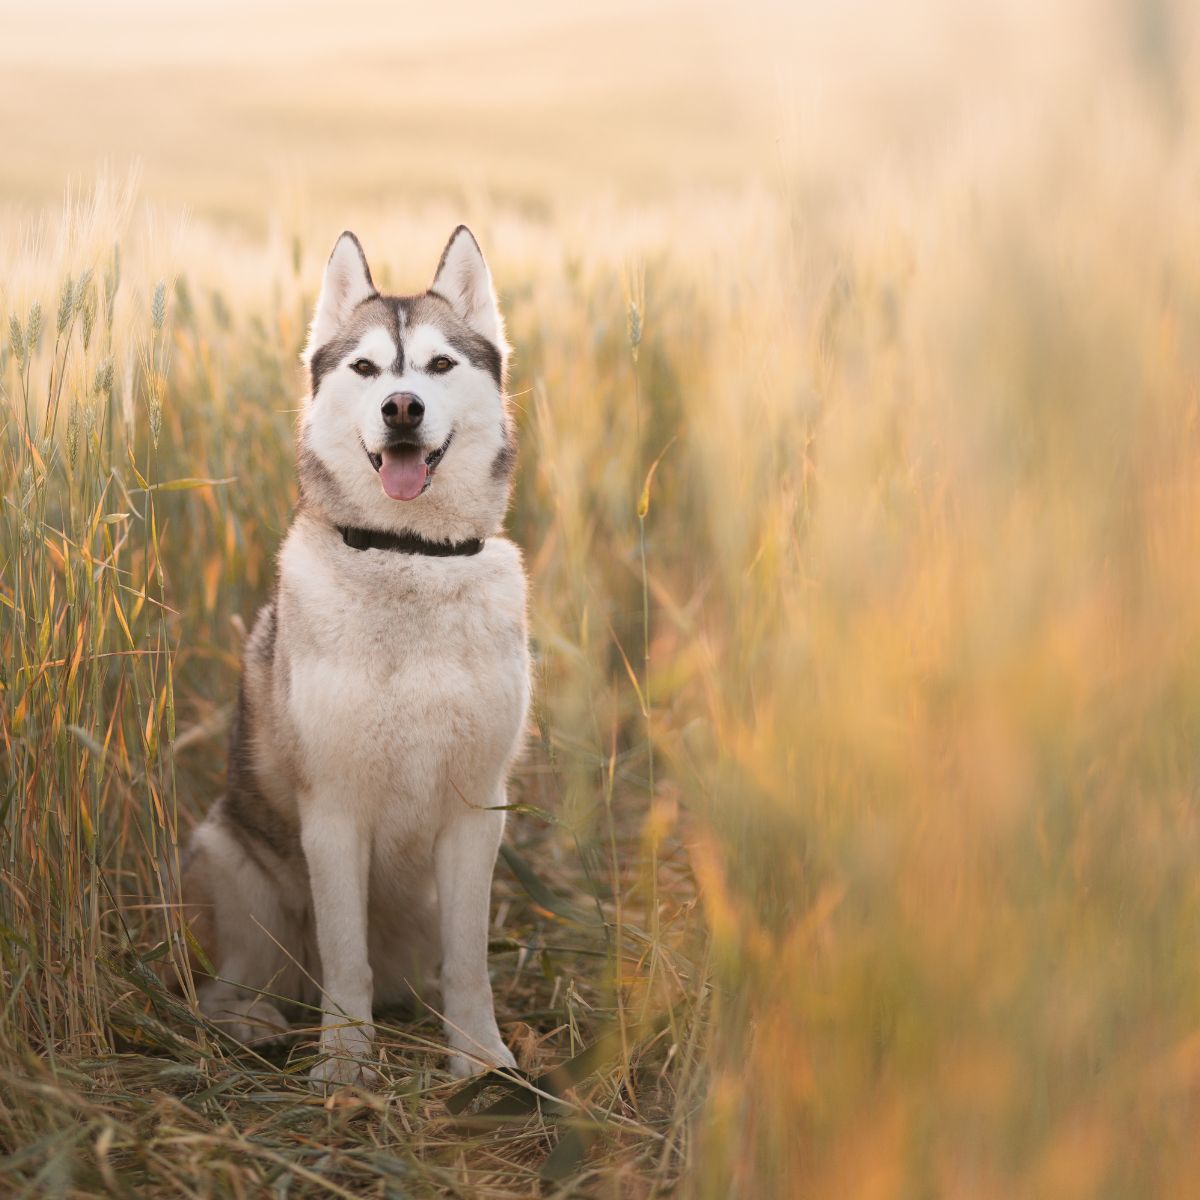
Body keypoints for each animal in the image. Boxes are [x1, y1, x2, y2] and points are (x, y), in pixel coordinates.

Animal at [175, 225, 525, 1089]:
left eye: (440, 365)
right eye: (366, 369)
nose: (402, 407)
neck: (407, 557)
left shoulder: (476, 810)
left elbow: (471, 964)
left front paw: (482, 1061)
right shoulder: (332, 810)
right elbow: (344, 955)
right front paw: (343, 1066)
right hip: (232, 865)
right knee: (222, 991)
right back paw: (257, 1023)